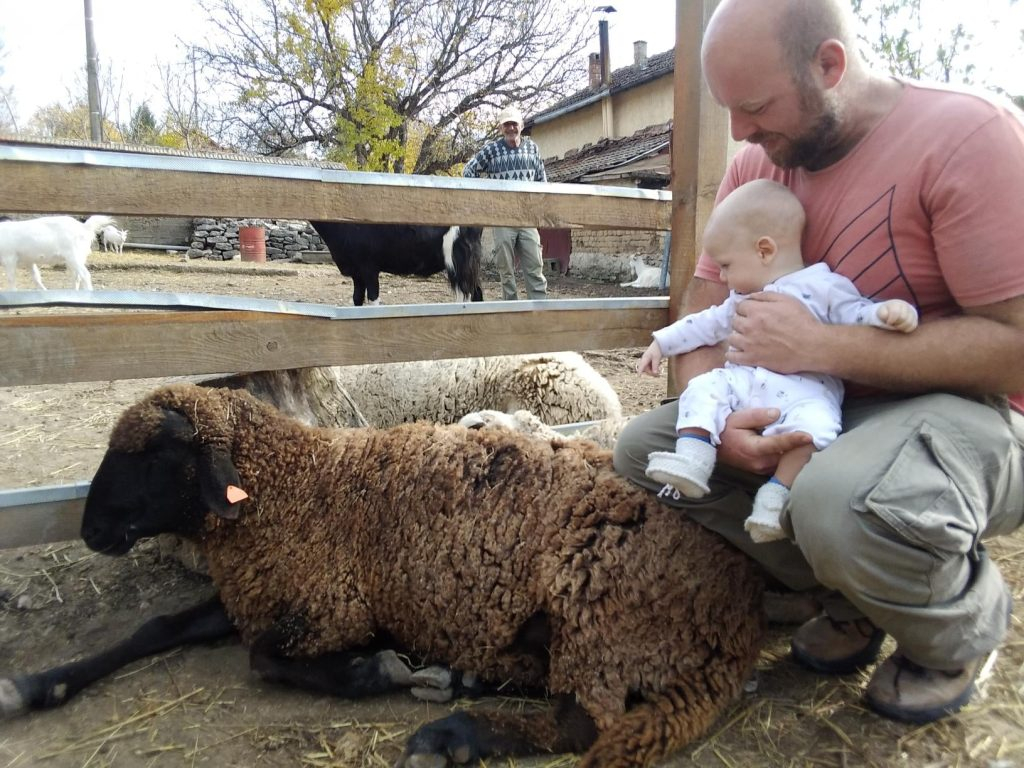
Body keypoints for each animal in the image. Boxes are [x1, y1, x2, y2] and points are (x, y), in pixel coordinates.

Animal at [0, 385, 761, 768]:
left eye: (155, 454)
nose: (91, 530)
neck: (297, 486)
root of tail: (735, 606)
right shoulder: (258, 592)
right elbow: (158, 626)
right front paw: (37, 685)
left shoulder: (333, 607)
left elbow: (264, 659)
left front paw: (374, 671)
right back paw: (463, 681)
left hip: (595, 611)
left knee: (583, 724)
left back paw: (454, 736)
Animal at [307, 221, 483, 305]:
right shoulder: (356, 272)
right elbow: (357, 299)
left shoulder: (369, 268)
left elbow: (373, 299)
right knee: (477, 293)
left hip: (459, 265)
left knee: (465, 296)